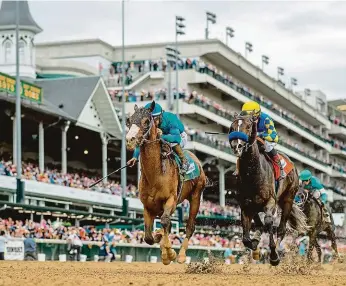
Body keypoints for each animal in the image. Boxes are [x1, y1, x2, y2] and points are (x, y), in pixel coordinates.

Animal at [125, 101, 205, 264]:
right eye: (129, 121)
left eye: (146, 121)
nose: (130, 140)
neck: (155, 174)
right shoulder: (148, 206)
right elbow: (148, 236)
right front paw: (160, 240)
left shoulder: (171, 199)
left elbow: (165, 221)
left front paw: (170, 254)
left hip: (195, 195)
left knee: (189, 226)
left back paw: (181, 255)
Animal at [230, 112, 308, 266]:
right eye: (232, 126)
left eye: (249, 126)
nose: (237, 145)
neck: (253, 174)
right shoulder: (246, 205)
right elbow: (246, 238)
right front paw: (255, 247)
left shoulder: (270, 202)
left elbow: (268, 222)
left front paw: (273, 255)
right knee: (261, 226)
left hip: (288, 199)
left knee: (281, 229)